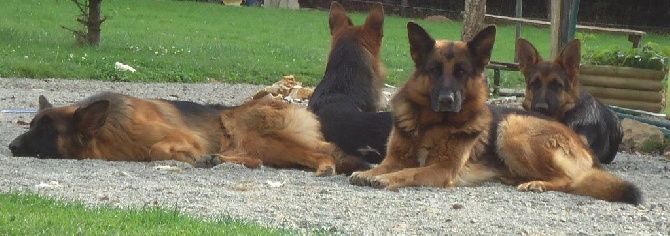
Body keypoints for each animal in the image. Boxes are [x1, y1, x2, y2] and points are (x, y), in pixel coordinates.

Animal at [11, 93, 342, 176]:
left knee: (322, 153)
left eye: (48, 129)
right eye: (32, 125)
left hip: (248, 131)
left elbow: (156, 150)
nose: (12, 146)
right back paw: (219, 159)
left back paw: (325, 166)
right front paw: (200, 159)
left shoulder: (184, 137)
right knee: (253, 159)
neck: (108, 128)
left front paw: (191, 158)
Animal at [350, 21, 644, 205]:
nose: (446, 100)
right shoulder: (396, 157)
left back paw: (537, 184)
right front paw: (370, 173)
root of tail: (581, 144)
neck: (431, 124)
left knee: (571, 179)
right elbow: (383, 165)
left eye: (462, 72)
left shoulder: (442, 169)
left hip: (512, 128)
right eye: (434, 70)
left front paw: (385, 179)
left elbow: (407, 172)